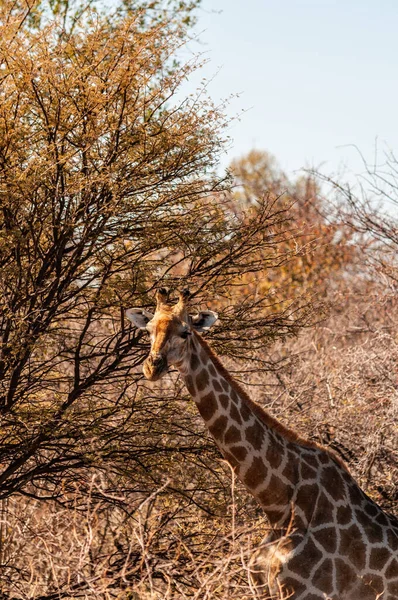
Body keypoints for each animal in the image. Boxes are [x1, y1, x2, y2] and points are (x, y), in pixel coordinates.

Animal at [126, 288, 398, 596]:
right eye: (149, 330)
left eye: (185, 332)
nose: (153, 367)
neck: (278, 503)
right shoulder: (261, 587)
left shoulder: (308, 591)